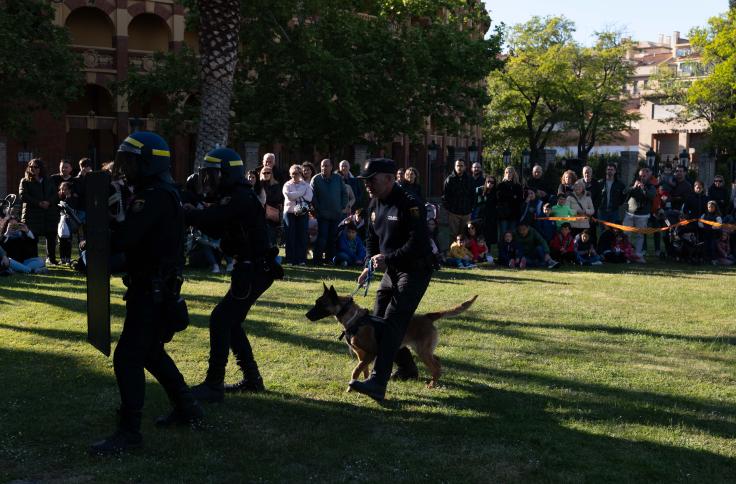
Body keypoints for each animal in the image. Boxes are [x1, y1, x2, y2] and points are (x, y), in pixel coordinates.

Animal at [304, 284, 478, 390]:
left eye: (320, 304)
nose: (306, 315)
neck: (355, 320)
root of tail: (428, 316)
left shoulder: (371, 353)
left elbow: (355, 371)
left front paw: (351, 387)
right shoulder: (362, 355)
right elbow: (363, 370)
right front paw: (361, 383)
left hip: (422, 351)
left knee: (436, 366)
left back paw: (432, 384)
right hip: (424, 349)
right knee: (438, 361)